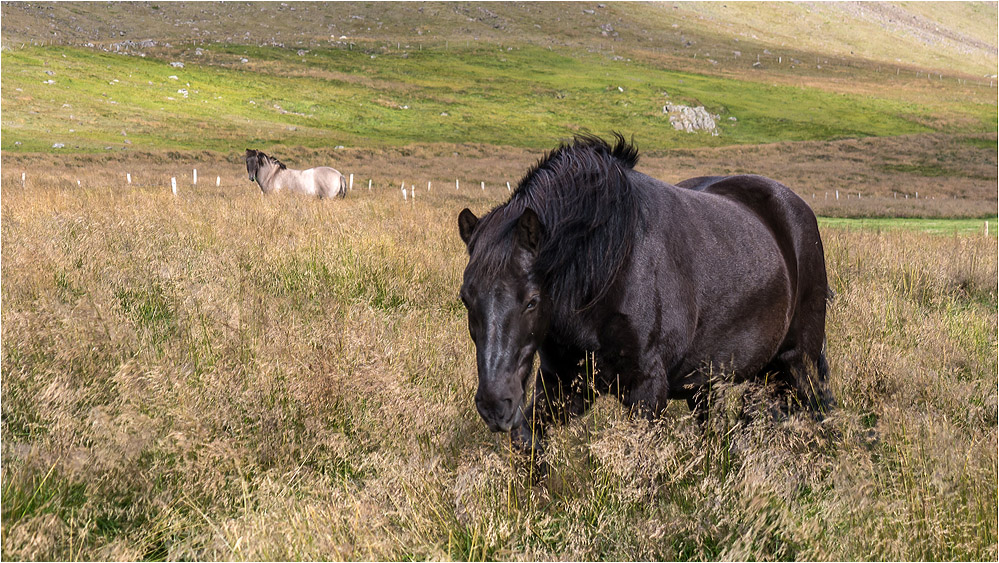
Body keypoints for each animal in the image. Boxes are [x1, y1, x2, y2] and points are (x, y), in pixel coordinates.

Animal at [458, 134, 832, 456]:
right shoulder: (563, 386)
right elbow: (528, 441)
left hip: (798, 362)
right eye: (466, 298)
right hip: (718, 381)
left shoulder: (646, 392)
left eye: (532, 300)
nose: (495, 405)